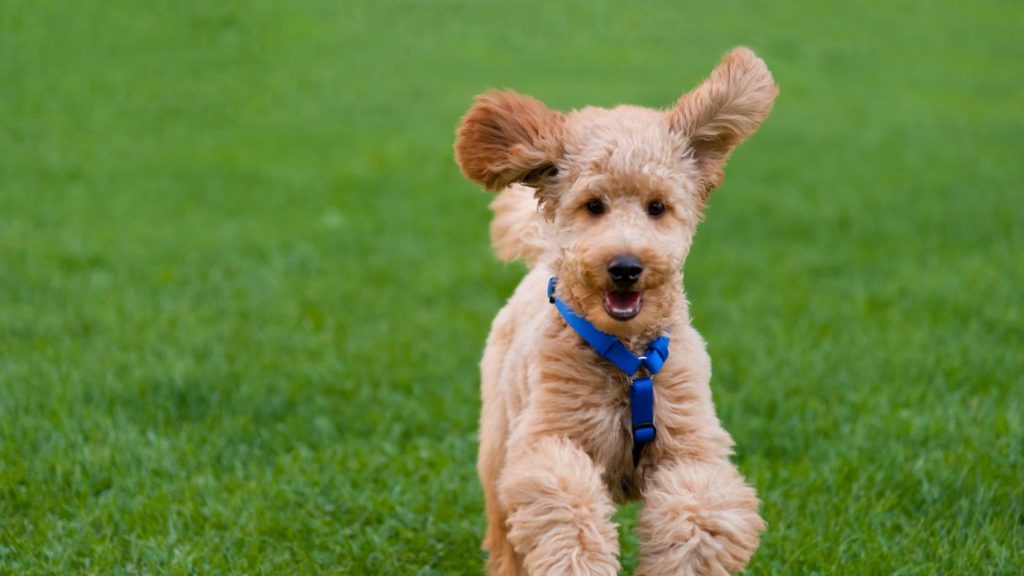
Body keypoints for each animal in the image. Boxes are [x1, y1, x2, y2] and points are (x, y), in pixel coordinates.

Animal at [454, 47, 774, 569]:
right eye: (594, 205)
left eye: (657, 206)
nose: (625, 267)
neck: (630, 361)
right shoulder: (548, 438)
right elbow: (566, 504)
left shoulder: (691, 445)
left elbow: (697, 514)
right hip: (497, 436)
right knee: (503, 530)